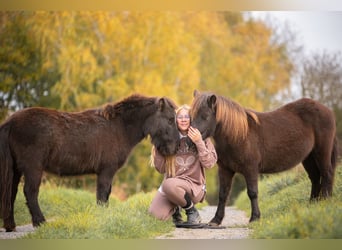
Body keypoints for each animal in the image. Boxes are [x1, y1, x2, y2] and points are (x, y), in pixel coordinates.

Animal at [0, 94, 180, 232]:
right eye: (171, 120)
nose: (176, 147)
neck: (119, 127)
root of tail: (11, 121)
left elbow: (105, 195)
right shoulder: (106, 171)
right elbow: (102, 195)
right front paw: (102, 218)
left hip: (16, 170)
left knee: (12, 192)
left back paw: (11, 225)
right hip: (33, 168)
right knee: (30, 192)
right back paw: (40, 222)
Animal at [191, 91, 338, 226]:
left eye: (205, 116)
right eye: (191, 115)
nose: (189, 140)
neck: (238, 135)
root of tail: (328, 110)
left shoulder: (250, 169)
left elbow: (252, 193)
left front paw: (255, 218)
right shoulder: (225, 170)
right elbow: (223, 194)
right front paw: (216, 220)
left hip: (321, 152)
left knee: (327, 174)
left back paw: (325, 201)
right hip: (308, 158)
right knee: (315, 178)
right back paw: (312, 203)